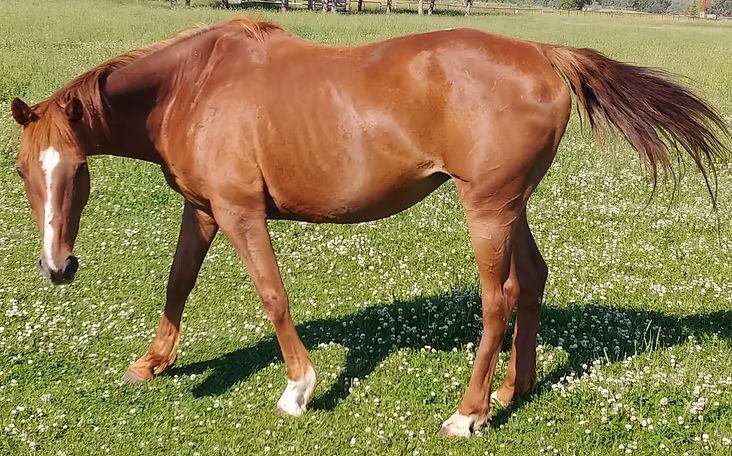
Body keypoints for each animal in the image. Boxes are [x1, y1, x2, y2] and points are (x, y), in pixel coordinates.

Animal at [10, 17, 728, 438]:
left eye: (76, 170)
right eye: (21, 169)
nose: (56, 267)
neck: (197, 84)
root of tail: (541, 52)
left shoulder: (241, 213)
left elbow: (273, 296)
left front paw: (299, 388)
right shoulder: (205, 210)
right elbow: (177, 283)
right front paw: (152, 362)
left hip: (487, 210)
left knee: (498, 298)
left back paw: (469, 412)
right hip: (512, 206)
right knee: (533, 282)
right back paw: (513, 388)